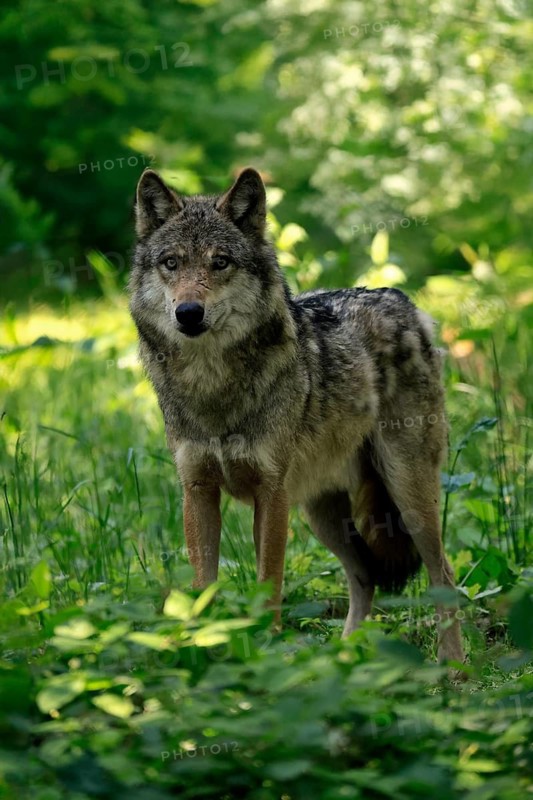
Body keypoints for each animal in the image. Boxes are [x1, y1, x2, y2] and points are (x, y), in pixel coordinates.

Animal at [129, 167, 464, 664]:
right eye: (171, 262)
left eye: (220, 262)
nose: (188, 313)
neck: (213, 389)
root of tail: (403, 301)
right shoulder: (198, 491)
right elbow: (203, 587)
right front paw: (207, 653)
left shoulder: (271, 494)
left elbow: (269, 585)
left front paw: (266, 650)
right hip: (322, 514)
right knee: (365, 577)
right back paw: (344, 659)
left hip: (407, 494)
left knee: (444, 574)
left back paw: (454, 667)